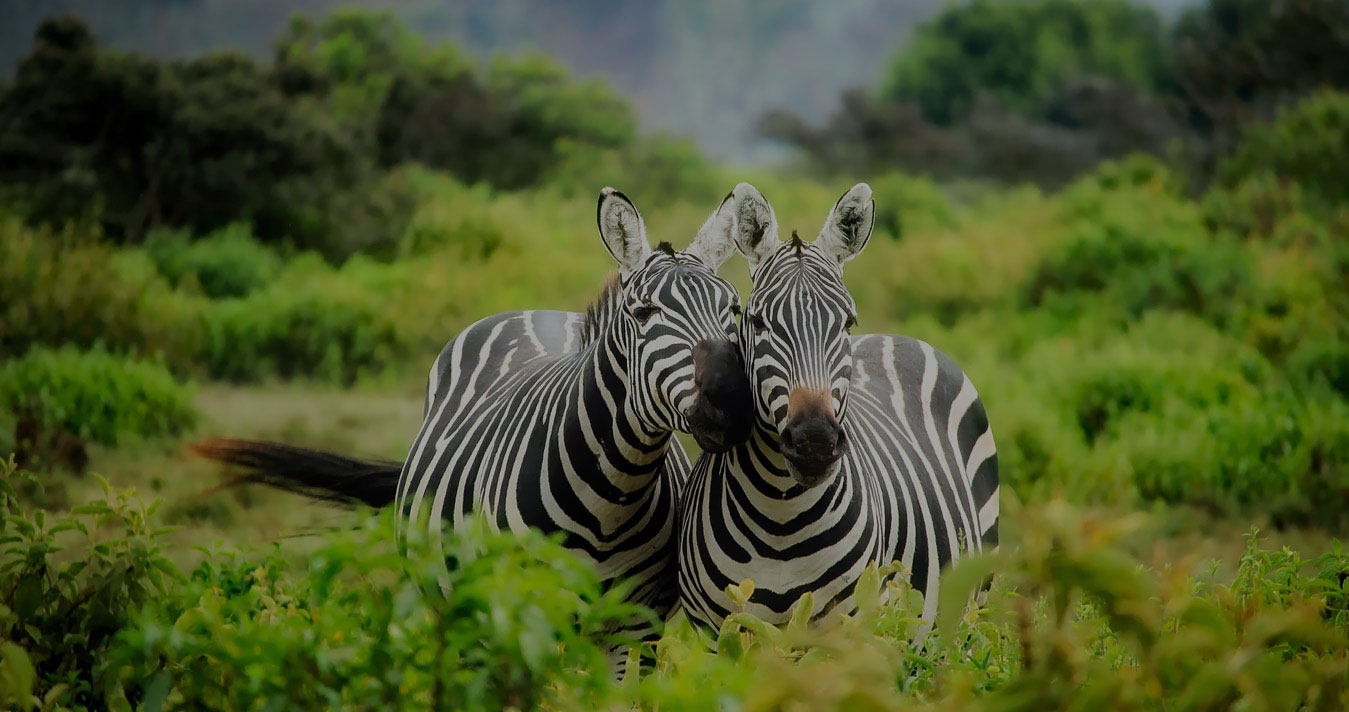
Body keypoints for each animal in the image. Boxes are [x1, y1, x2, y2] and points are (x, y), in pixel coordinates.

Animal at [195, 187, 755, 628]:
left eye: (733, 308)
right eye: (644, 313)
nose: (731, 401)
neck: (611, 496)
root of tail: (535, 311)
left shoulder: (635, 626)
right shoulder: (520, 610)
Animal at [674, 182, 1003, 628]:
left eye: (847, 322)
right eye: (757, 322)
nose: (814, 442)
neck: (780, 519)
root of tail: (897, 337)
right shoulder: (718, 630)